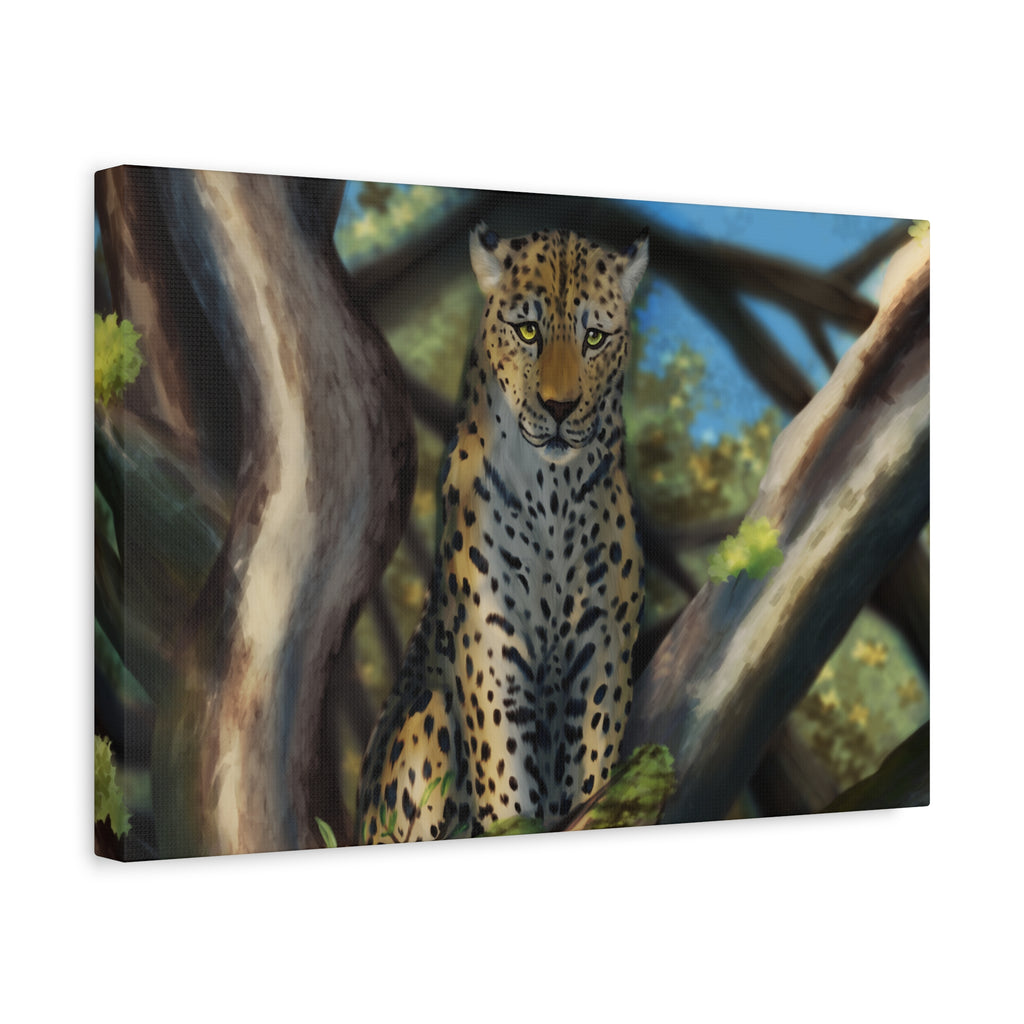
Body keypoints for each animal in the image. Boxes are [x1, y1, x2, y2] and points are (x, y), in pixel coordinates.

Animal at [357, 222, 649, 843]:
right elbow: (505, 774)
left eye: (594, 337)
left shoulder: (604, 641)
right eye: (528, 330)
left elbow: (594, 761)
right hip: (425, 718)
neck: (553, 491)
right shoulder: (490, 641)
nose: (560, 408)